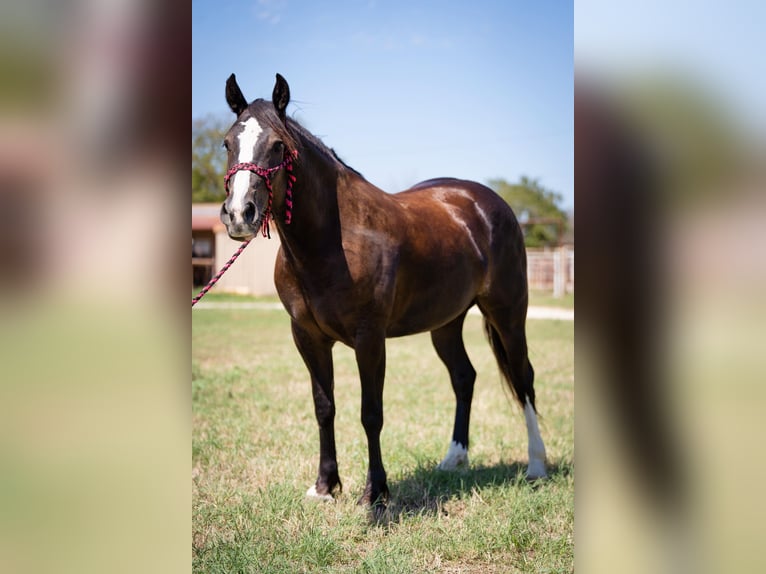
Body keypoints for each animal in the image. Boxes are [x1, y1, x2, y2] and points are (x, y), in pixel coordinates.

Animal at [219, 72, 548, 508]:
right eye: (227, 143)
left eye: (277, 145)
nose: (240, 214)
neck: (334, 240)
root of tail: (490, 203)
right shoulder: (307, 337)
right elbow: (324, 407)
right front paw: (325, 486)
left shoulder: (370, 338)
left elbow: (370, 413)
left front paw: (375, 492)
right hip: (446, 323)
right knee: (464, 377)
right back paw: (454, 459)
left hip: (508, 312)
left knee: (523, 376)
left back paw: (537, 465)